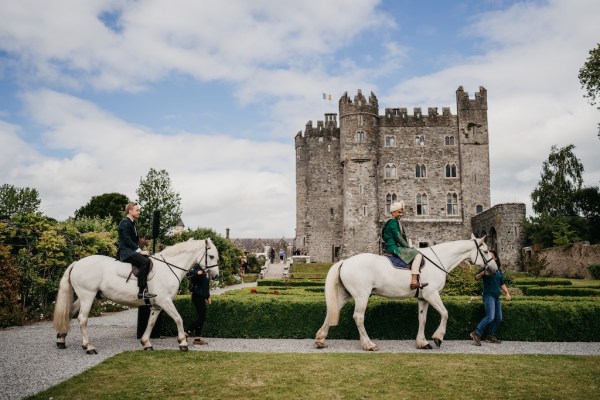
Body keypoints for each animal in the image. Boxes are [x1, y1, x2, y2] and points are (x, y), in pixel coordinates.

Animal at [52, 238, 219, 354]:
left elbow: (151, 323)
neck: (168, 268)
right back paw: (88, 347)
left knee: (70, 313)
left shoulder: (157, 305)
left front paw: (146, 343)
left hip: (83, 297)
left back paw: (61, 339)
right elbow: (178, 318)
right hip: (88, 296)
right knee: (82, 319)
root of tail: (77, 263)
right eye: (211, 256)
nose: (216, 276)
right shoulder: (165, 301)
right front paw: (183, 342)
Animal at [314, 234, 496, 350]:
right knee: (358, 317)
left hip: (346, 295)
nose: (494, 269)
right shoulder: (432, 294)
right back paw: (368, 344)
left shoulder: (423, 298)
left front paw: (422, 342)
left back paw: (320, 339)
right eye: (486, 251)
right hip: (361, 296)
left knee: (332, 311)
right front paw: (438, 337)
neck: (438, 260)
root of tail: (345, 261)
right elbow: (445, 313)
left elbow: (422, 319)